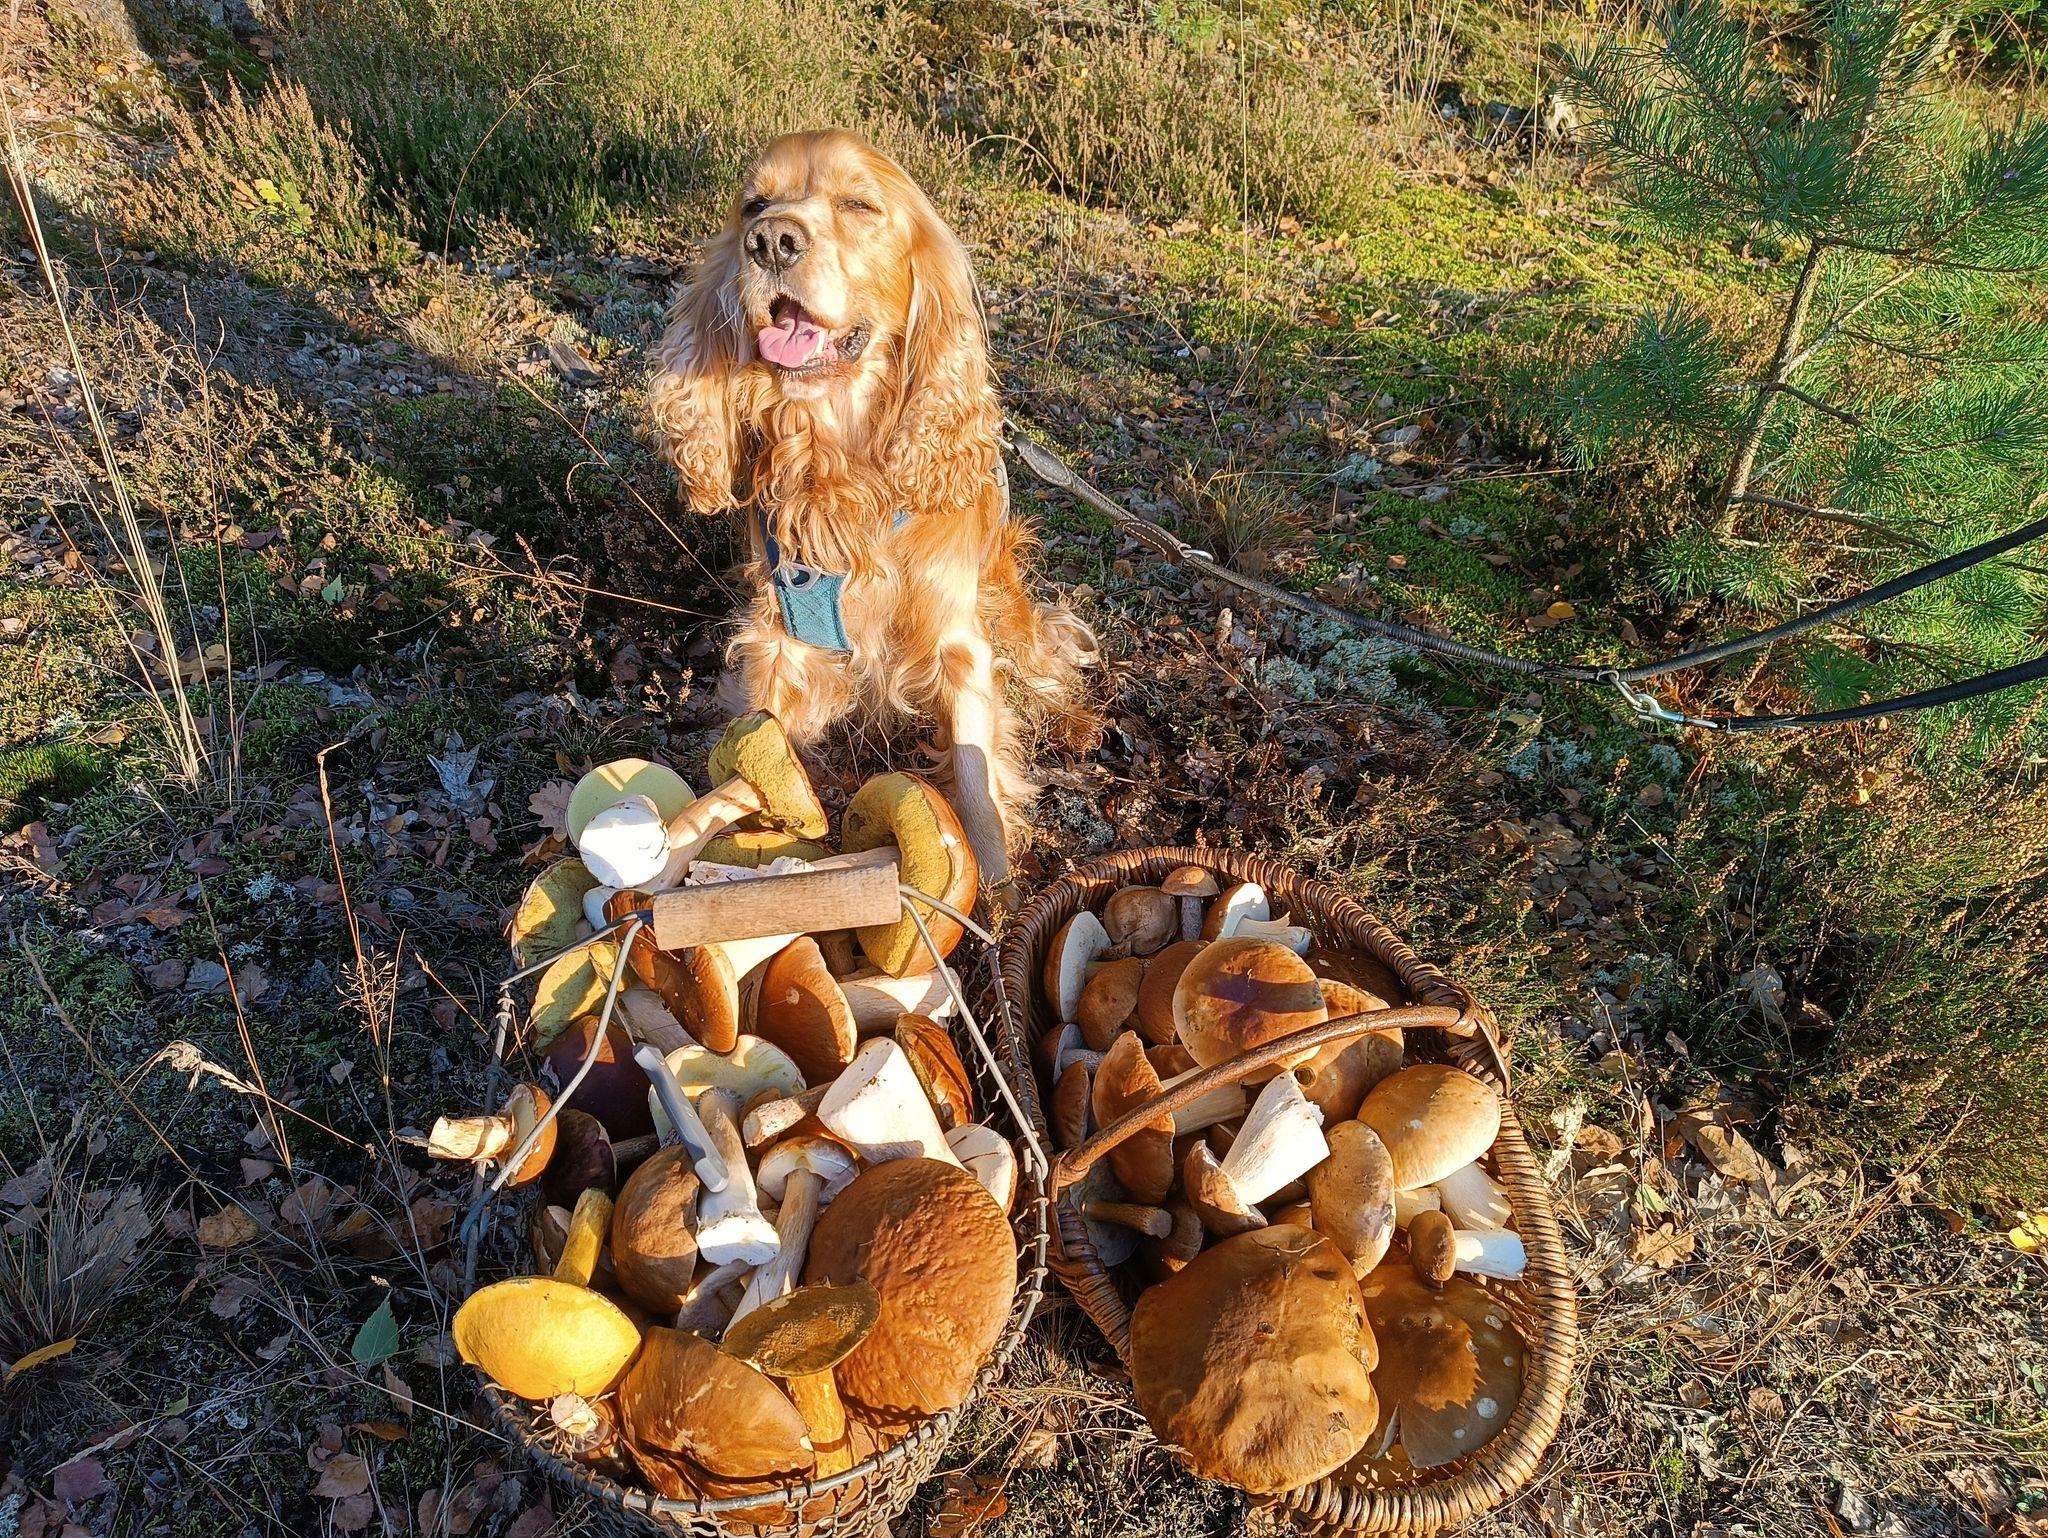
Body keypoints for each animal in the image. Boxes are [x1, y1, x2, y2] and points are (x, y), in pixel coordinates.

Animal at [647, 128, 1095, 890]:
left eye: (859, 204)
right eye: (752, 205)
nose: (770, 241)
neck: (840, 465)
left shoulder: (958, 644)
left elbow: (977, 782)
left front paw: (995, 894)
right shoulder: (783, 640)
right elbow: (758, 746)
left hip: (1007, 600)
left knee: (1047, 655)